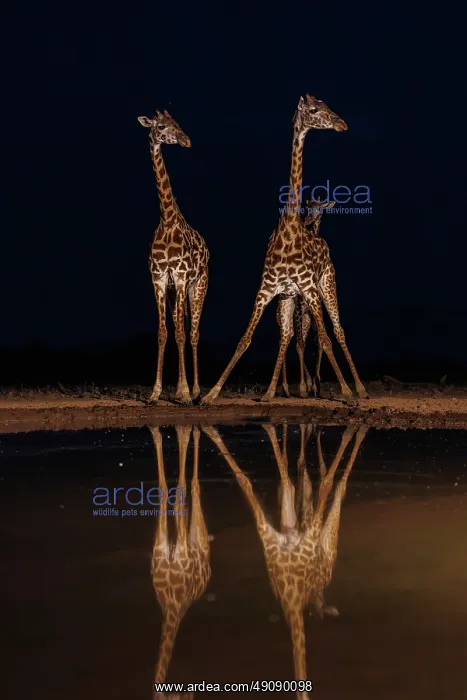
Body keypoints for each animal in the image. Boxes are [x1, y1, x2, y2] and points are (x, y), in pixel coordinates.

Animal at [277, 198, 336, 399]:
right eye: (307, 207)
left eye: (320, 208)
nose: (309, 220)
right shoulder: (300, 309)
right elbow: (301, 345)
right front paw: (305, 387)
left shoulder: (311, 312)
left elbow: (318, 342)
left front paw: (316, 386)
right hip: (288, 316)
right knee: (288, 341)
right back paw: (287, 388)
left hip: (304, 318)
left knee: (290, 340)